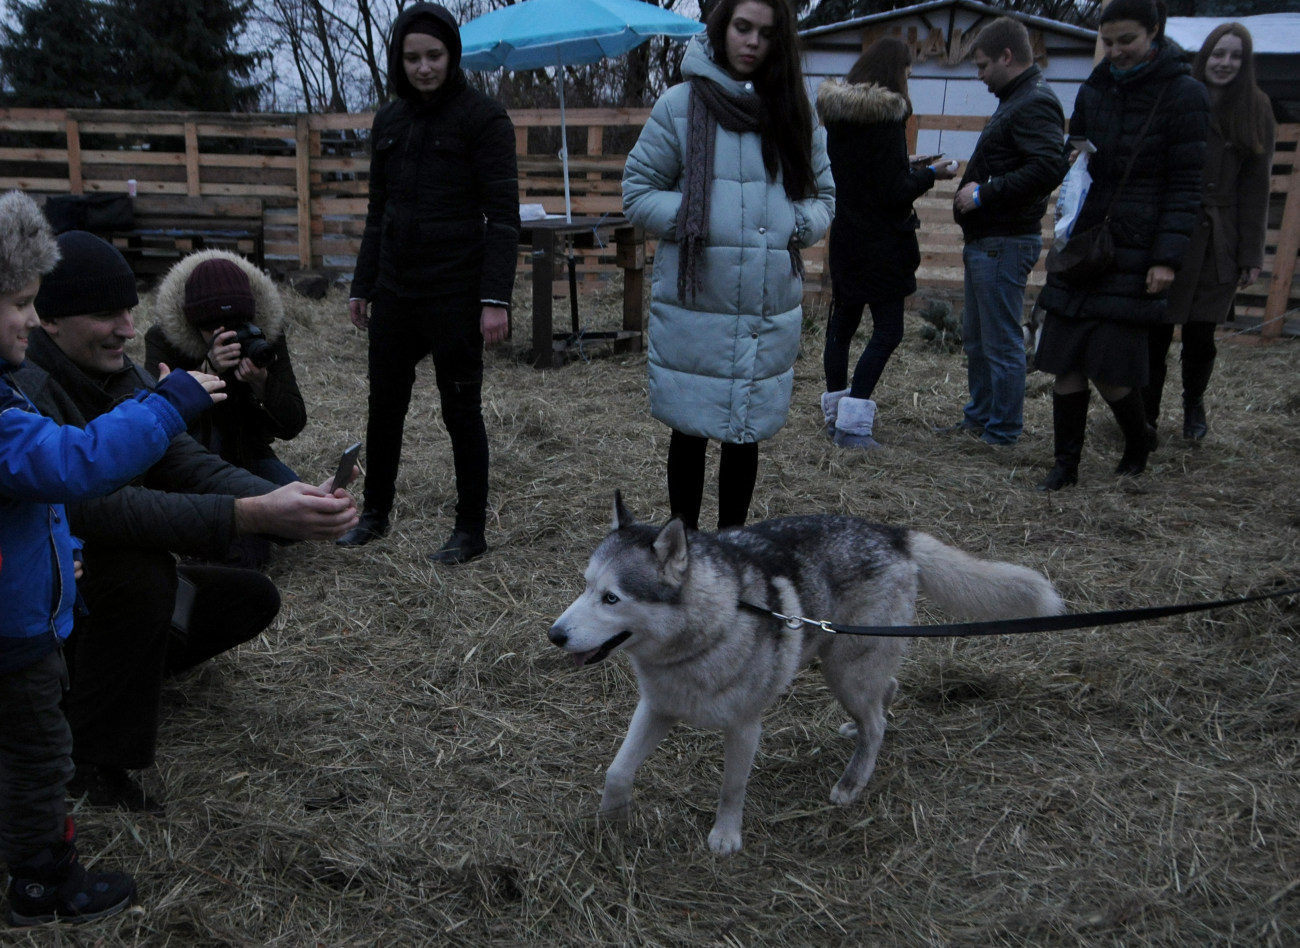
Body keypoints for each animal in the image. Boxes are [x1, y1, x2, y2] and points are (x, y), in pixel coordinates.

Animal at [548, 491, 1066, 853]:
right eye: (585, 586)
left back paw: (853, 780)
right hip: (850, 664)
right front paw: (612, 819)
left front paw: (726, 837)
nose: (554, 635)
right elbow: (617, 771)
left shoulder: (744, 726)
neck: (710, 628)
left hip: (844, 672)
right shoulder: (658, 708)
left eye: (611, 598)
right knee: (886, 692)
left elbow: (732, 788)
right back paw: (856, 729)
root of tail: (893, 533)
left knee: (876, 723)